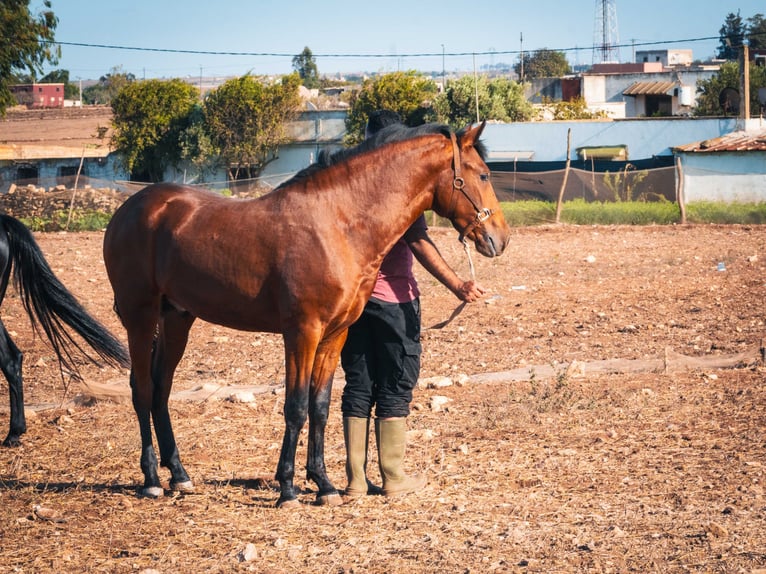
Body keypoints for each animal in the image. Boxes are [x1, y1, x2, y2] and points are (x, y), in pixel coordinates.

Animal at [100, 121, 510, 508]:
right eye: (483, 174)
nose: (500, 238)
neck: (337, 223)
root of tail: (129, 209)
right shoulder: (302, 333)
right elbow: (296, 406)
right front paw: (287, 489)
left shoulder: (335, 335)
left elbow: (321, 406)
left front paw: (324, 484)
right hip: (140, 316)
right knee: (143, 389)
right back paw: (152, 480)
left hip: (177, 319)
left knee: (162, 390)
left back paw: (179, 475)